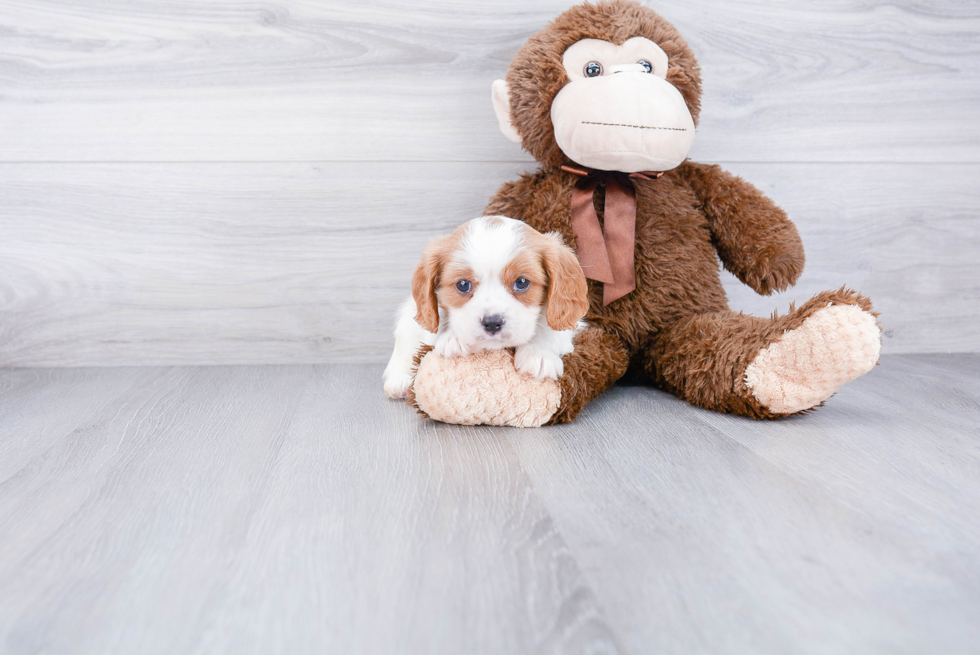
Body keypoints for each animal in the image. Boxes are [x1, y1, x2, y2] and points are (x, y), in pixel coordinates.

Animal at [384, 217, 588, 400]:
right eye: (463, 285)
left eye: (522, 282)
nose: (492, 323)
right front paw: (453, 338)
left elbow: (549, 327)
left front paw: (538, 353)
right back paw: (400, 381)